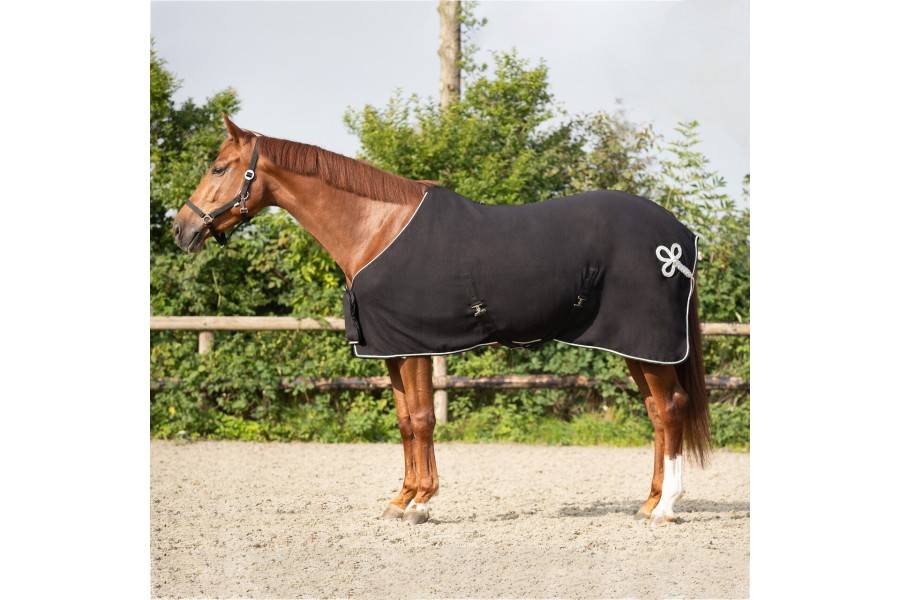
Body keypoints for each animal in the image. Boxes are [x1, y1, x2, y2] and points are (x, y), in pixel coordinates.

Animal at [173, 115, 711, 526]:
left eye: (220, 167)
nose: (181, 228)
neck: (377, 228)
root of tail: (679, 236)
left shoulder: (414, 346)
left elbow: (422, 419)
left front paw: (420, 503)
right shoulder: (390, 347)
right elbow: (404, 421)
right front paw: (401, 499)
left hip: (651, 346)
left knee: (671, 409)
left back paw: (667, 507)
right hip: (635, 348)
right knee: (656, 414)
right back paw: (648, 502)